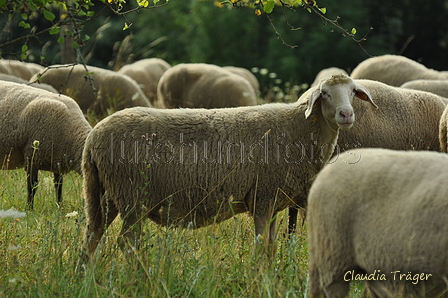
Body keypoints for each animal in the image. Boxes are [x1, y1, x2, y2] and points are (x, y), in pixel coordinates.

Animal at [0, 80, 92, 208]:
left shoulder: (58, 161)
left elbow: (58, 186)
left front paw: (59, 206)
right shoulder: (32, 157)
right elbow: (32, 186)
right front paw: (29, 208)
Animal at [79, 74, 376, 264]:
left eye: (353, 91)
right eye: (324, 93)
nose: (346, 115)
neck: (299, 129)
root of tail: (93, 137)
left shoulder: (273, 201)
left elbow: (272, 247)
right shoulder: (262, 196)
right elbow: (261, 246)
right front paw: (260, 280)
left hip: (104, 194)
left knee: (93, 236)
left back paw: (85, 276)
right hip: (133, 197)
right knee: (127, 243)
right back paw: (140, 278)